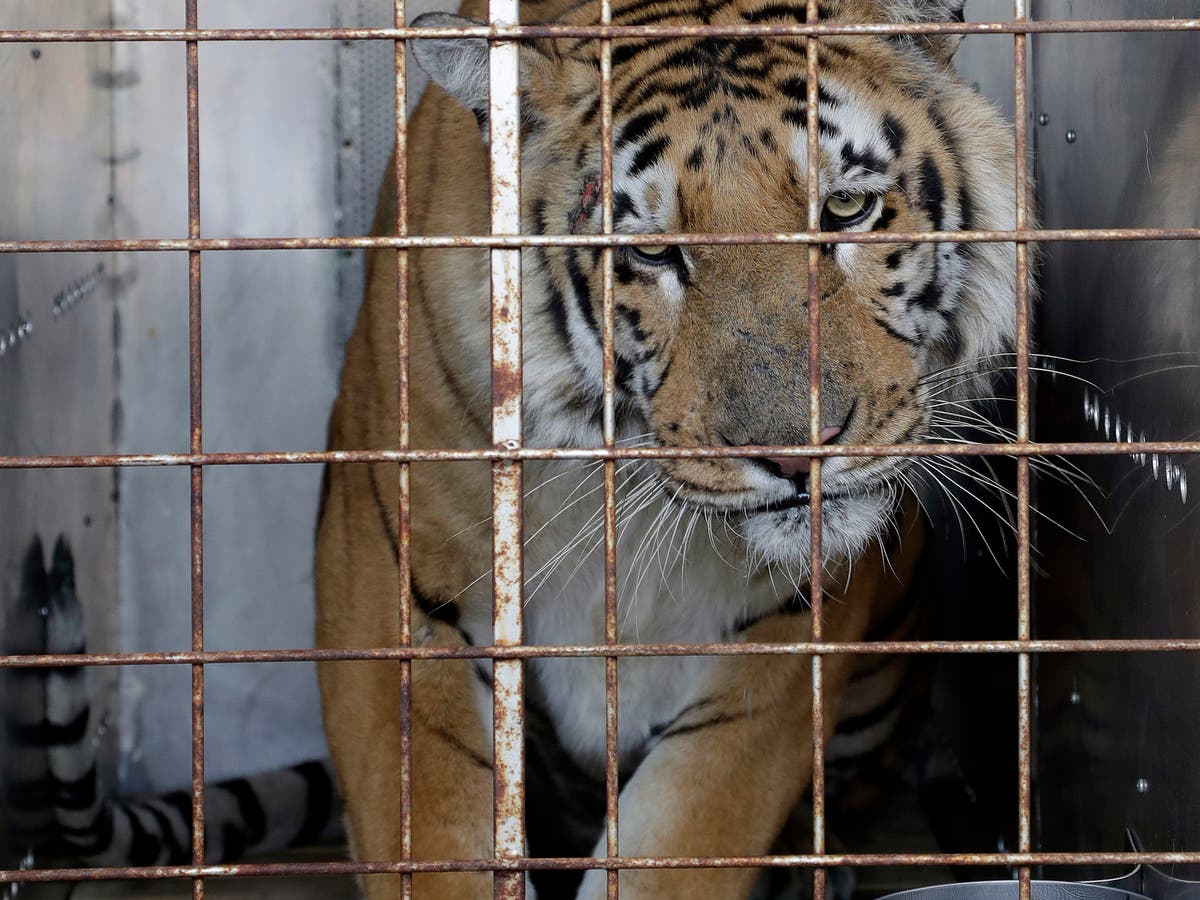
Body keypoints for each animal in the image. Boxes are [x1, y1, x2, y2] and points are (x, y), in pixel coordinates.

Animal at [314, 0, 1017, 897]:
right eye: (650, 252)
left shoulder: (789, 623)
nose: (799, 453)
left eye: (846, 210)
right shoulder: (390, 572)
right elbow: (431, 819)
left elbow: (689, 819)